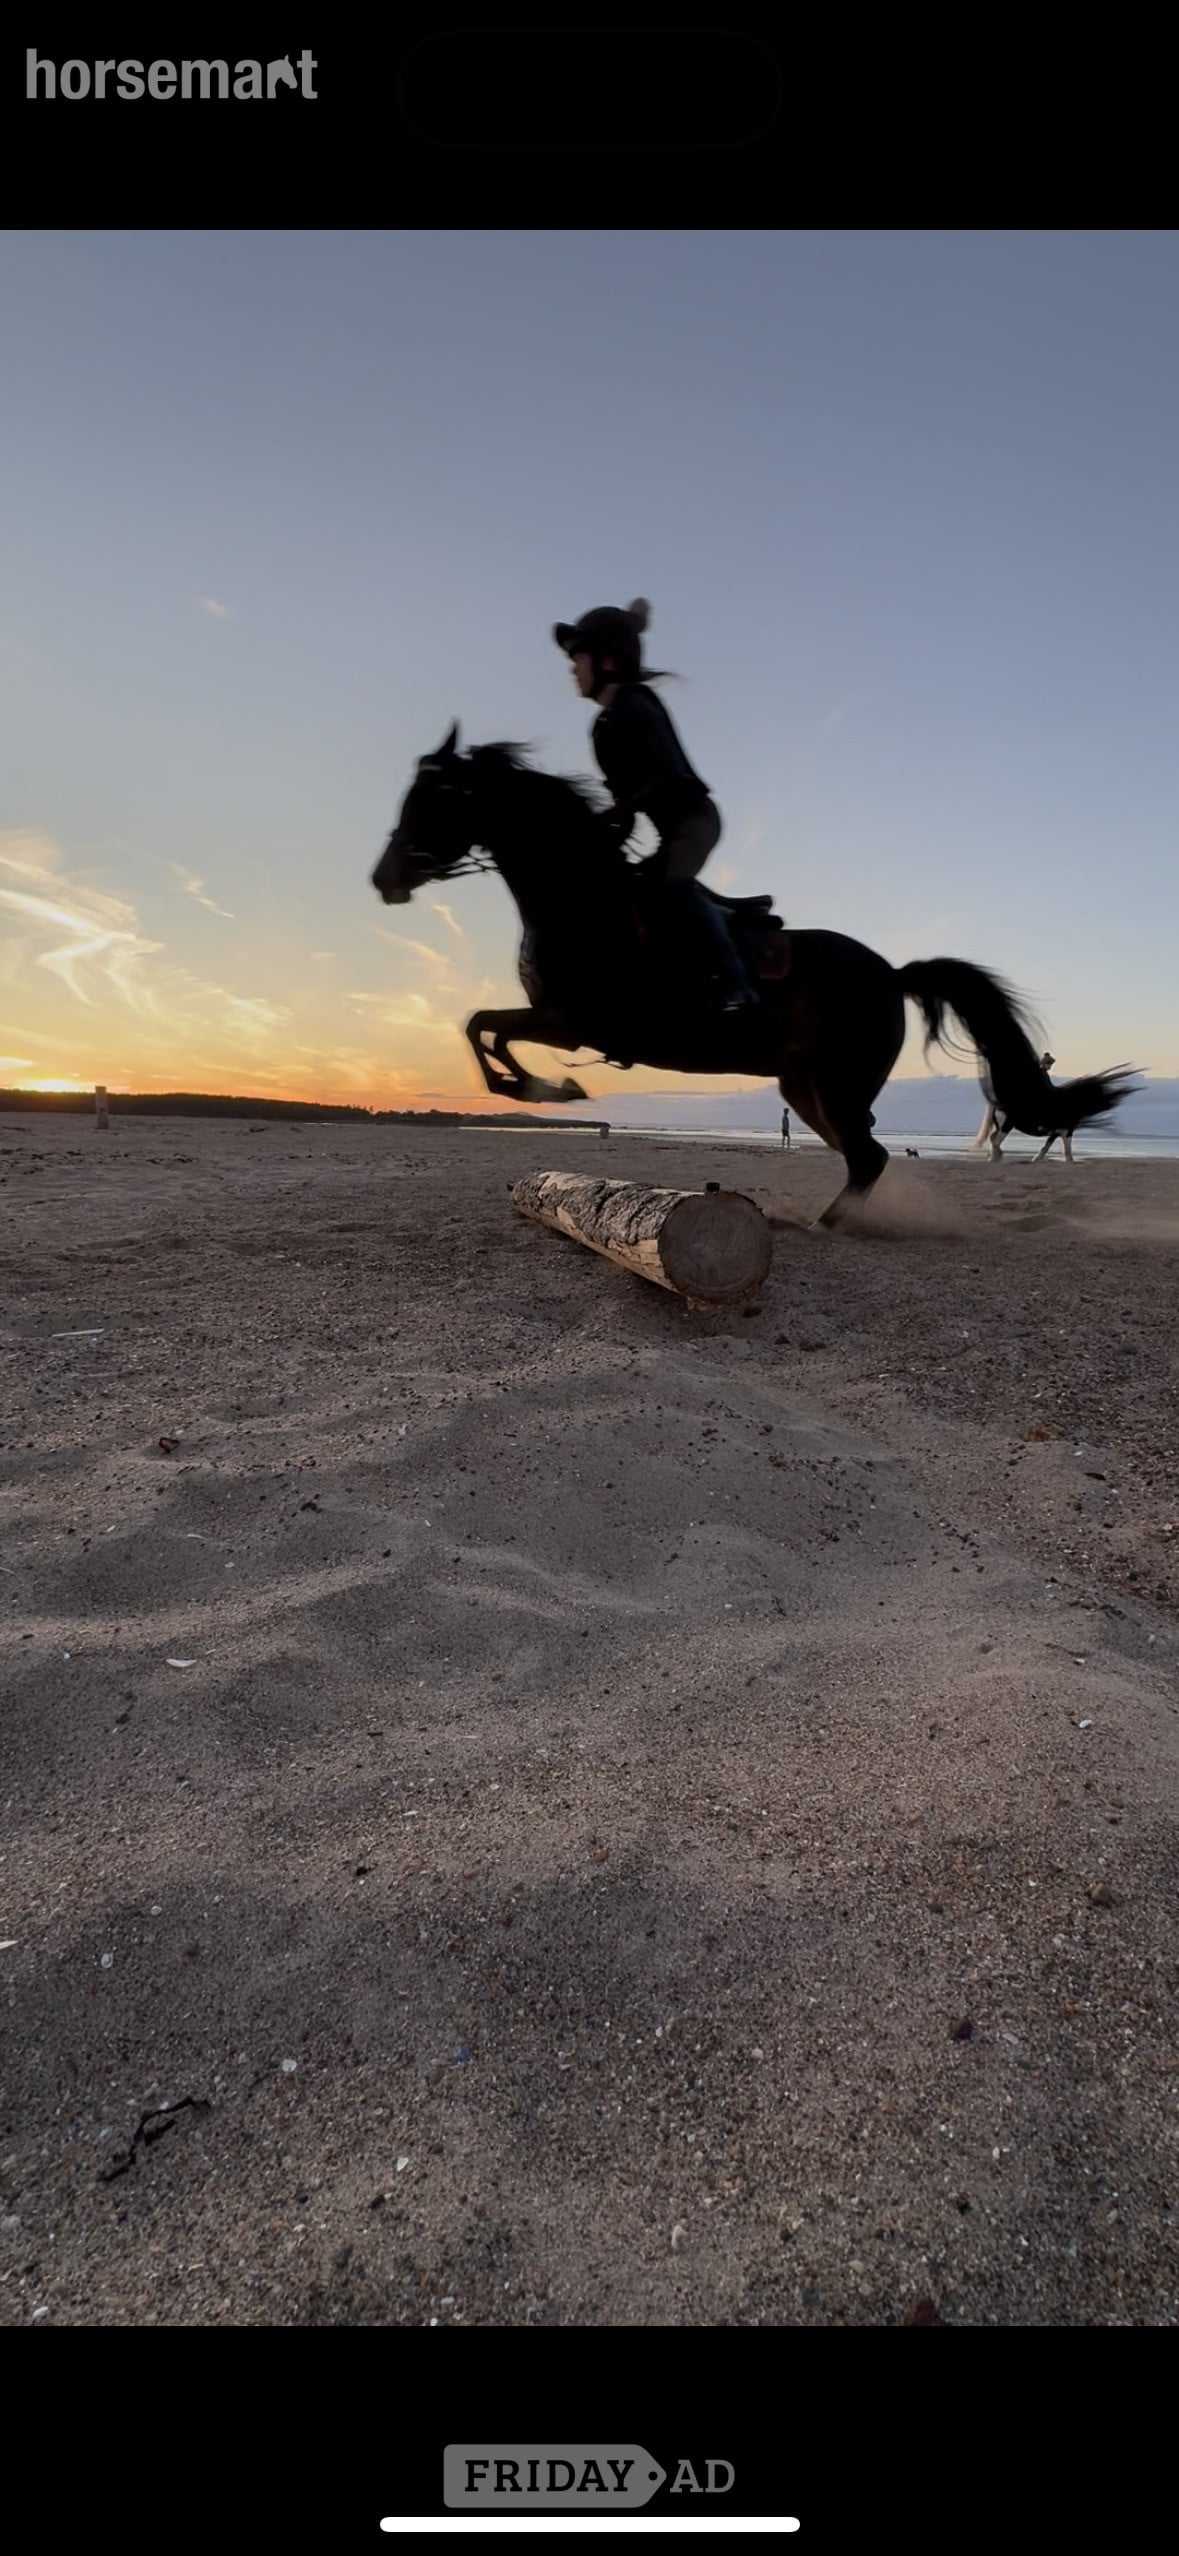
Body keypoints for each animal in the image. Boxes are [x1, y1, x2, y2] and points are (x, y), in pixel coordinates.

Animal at [371, 725, 1138, 1223]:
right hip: (807, 1090)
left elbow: (485, 1031)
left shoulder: (571, 1021)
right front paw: (539, 1086)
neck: (582, 897)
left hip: (835, 1084)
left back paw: (824, 1226)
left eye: (433, 799)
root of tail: (892, 973)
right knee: (864, 1154)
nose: (385, 878)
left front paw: (543, 1088)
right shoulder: (559, 1021)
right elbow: (481, 1027)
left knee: (868, 1156)